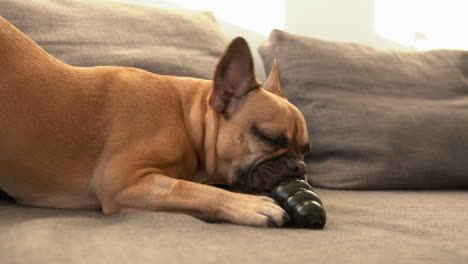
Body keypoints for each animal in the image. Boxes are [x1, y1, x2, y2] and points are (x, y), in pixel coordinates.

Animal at [0, 17, 310, 227]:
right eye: (267, 137)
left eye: (305, 150)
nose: (299, 166)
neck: (190, 121)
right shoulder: (124, 182)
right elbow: (190, 188)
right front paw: (250, 205)